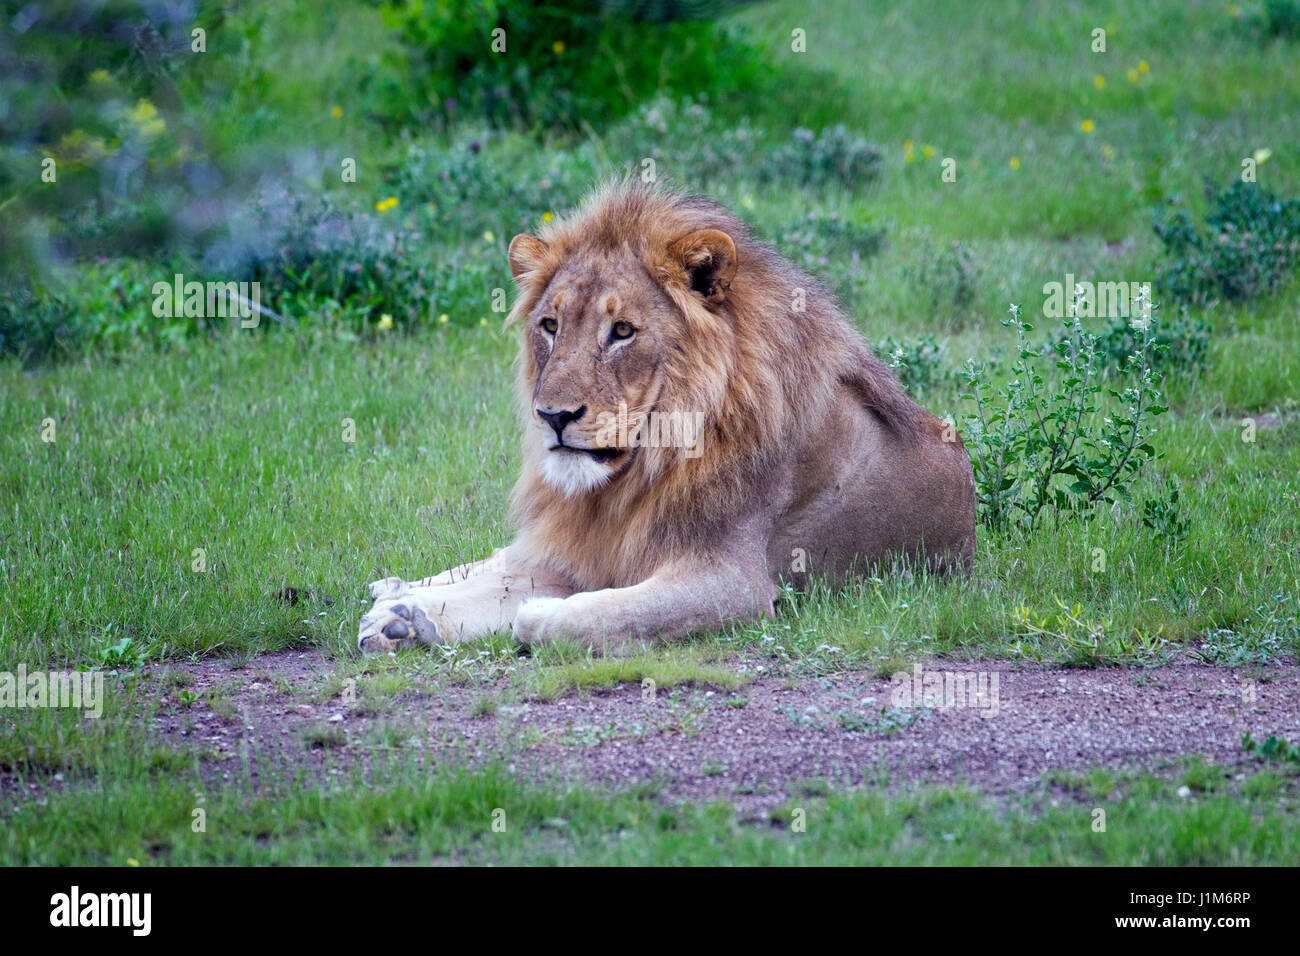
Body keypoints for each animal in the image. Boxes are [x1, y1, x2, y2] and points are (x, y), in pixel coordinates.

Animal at [356, 182, 977, 655]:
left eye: (622, 331)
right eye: (551, 326)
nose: (553, 416)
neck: (630, 478)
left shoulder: (733, 583)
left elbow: (585, 613)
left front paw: (516, 616)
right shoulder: (582, 547)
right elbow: (514, 578)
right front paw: (405, 618)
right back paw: (393, 593)